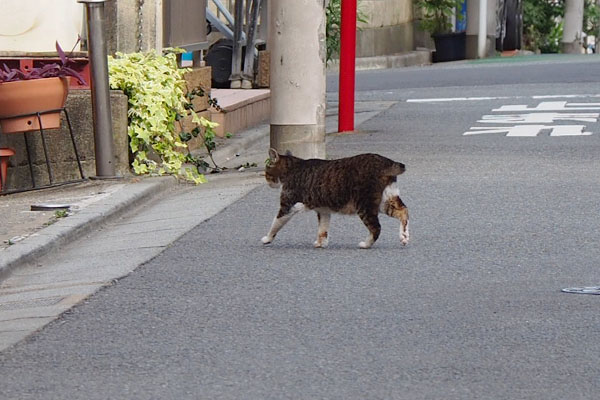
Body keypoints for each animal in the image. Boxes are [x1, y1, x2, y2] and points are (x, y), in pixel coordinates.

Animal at [262, 148, 408, 248]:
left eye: (266, 172)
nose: (267, 182)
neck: (292, 168)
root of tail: (385, 161)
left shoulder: (287, 206)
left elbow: (275, 224)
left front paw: (267, 239)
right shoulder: (323, 209)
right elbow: (323, 228)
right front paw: (320, 243)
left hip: (364, 205)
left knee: (376, 228)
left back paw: (366, 244)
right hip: (386, 200)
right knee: (403, 211)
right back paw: (404, 236)